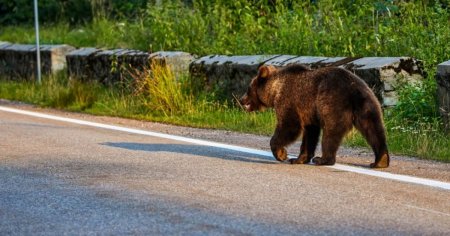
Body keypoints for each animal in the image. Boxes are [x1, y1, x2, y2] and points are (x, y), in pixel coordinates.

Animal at [239, 64, 390, 168]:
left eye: (248, 88)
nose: (241, 99)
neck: (275, 90)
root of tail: (353, 90)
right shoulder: (308, 112)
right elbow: (309, 134)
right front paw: (298, 158)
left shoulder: (289, 100)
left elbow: (289, 126)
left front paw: (282, 154)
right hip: (368, 105)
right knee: (374, 130)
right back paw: (380, 160)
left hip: (332, 104)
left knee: (331, 133)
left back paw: (322, 159)